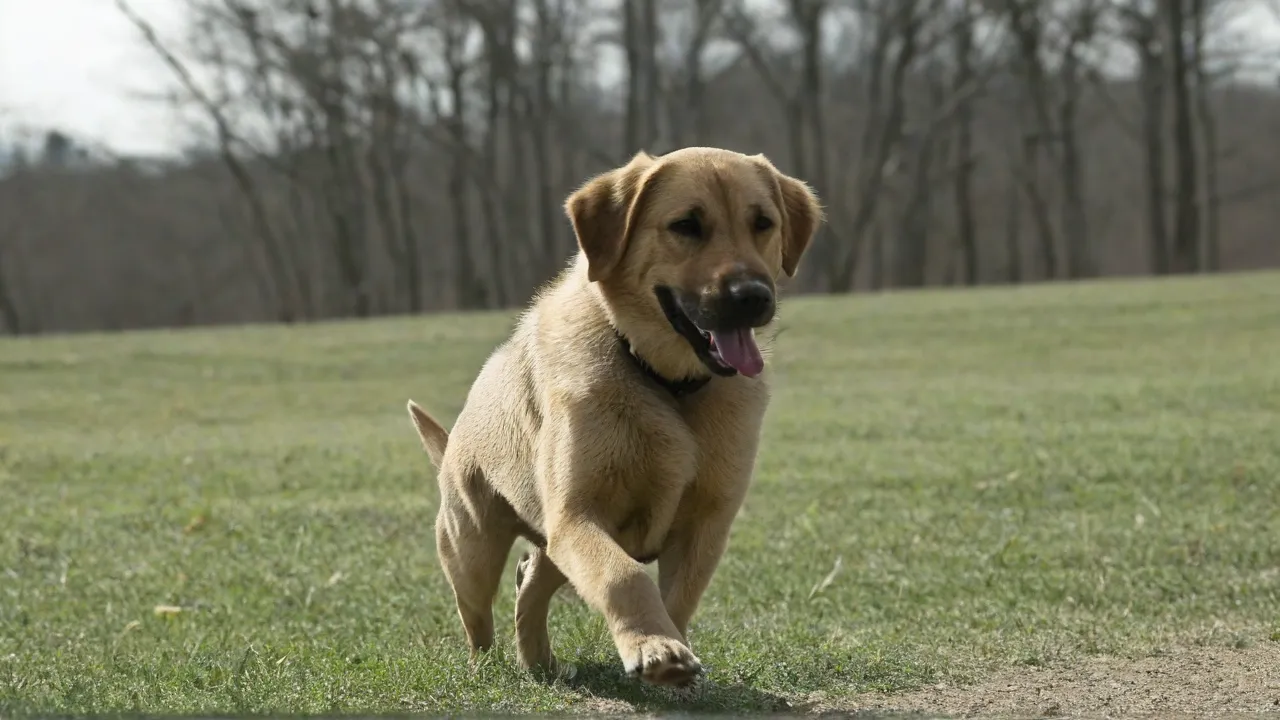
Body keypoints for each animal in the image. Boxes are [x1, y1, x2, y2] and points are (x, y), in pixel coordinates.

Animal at [407, 144, 819, 681]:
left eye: (763, 223)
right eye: (686, 225)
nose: (753, 296)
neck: (664, 383)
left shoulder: (705, 525)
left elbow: (678, 599)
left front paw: (669, 643)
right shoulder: (578, 515)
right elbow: (621, 577)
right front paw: (654, 647)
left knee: (531, 580)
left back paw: (540, 661)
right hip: (472, 551)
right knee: (479, 617)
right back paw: (488, 666)